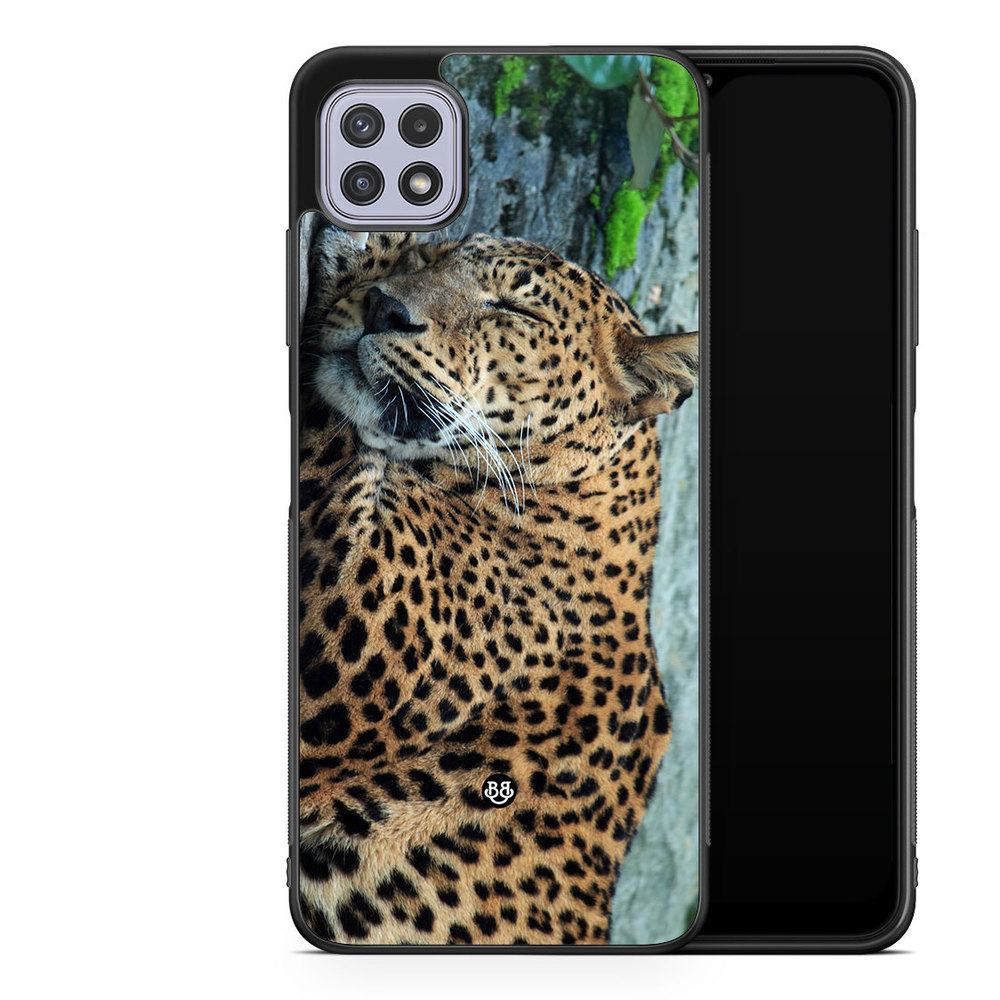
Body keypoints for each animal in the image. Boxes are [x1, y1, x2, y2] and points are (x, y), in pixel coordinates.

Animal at [296, 223, 698, 946]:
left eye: (513, 310)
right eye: (433, 260)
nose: (384, 309)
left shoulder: (351, 612)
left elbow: (334, 434)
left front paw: (366, 240)